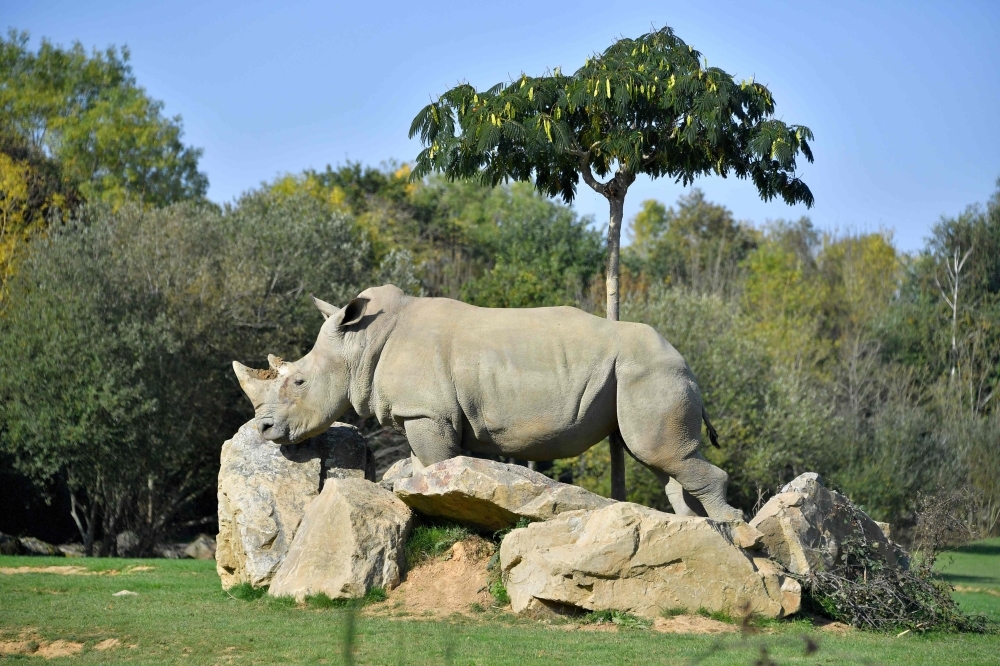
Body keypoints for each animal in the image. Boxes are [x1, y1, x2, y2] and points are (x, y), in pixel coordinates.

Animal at [232, 282, 744, 520]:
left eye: (299, 382)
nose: (263, 430)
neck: (359, 346)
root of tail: (684, 359)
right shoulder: (449, 417)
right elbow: (447, 468)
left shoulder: (427, 412)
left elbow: (432, 466)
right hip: (645, 373)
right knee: (665, 460)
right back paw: (698, 529)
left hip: (652, 371)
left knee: (659, 453)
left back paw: (738, 535)